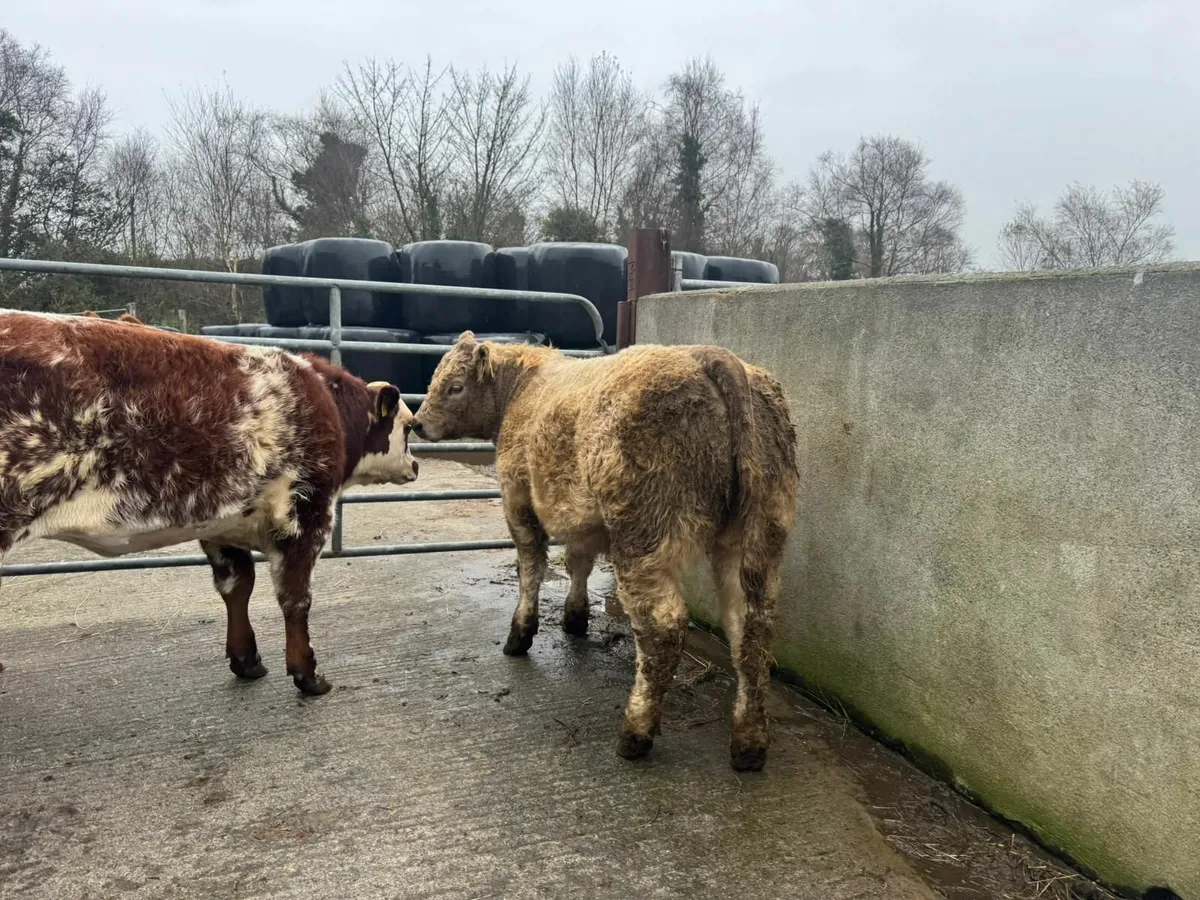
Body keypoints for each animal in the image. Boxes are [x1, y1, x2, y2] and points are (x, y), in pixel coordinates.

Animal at [0, 310, 418, 695]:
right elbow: (296, 598)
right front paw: (308, 675)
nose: (415, 465)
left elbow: (237, 586)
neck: (327, 404)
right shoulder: (305, 514)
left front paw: (246, 660)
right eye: (408, 426)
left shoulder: (222, 522)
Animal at [411, 332, 799, 771]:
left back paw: (635, 733)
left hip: (643, 535)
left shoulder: (518, 500)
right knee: (751, 629)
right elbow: (578, 562)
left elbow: (530, 569)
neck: (524, 387)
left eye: (455, 387)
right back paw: (749, 744)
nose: (417, 422)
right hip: (757, 536)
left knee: (664, 629)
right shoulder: (582, 518)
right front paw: (574, 618)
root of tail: (709, 357)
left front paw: (520, 634)